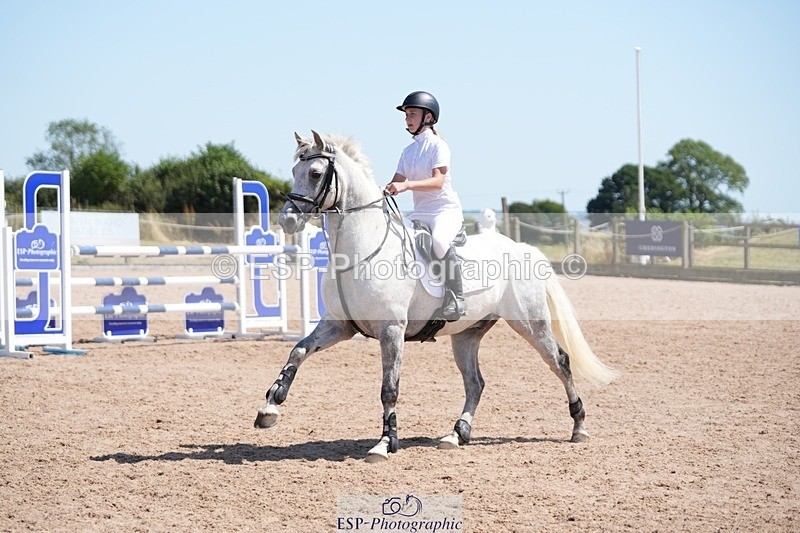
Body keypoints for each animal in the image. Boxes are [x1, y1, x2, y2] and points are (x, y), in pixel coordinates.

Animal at [254, 131, 618, 463]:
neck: (360, 249)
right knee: (475, 383)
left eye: (316, 173)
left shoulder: (391, 329)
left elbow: (389, 388)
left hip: (530, 322)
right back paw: (457, 434)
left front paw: (384, 444)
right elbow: (299, 350)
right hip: (467, 334)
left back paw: (579, 428)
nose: (287, 220)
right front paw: (270, 407)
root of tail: (521, 247)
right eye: (294, 170)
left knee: (560, 361)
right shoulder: (339, 325)